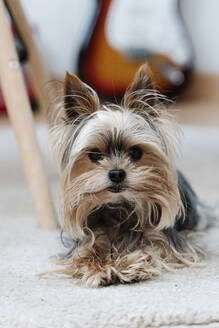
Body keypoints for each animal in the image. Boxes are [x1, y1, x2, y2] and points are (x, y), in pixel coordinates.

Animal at [50, 63, 211, 288]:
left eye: (136, 152)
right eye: (94, 155)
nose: (117, 173)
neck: (120, 207)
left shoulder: (166, 239)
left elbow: (152, 248)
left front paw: (129, 265)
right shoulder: (88, 236)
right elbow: (88, 251)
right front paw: (99, 268)